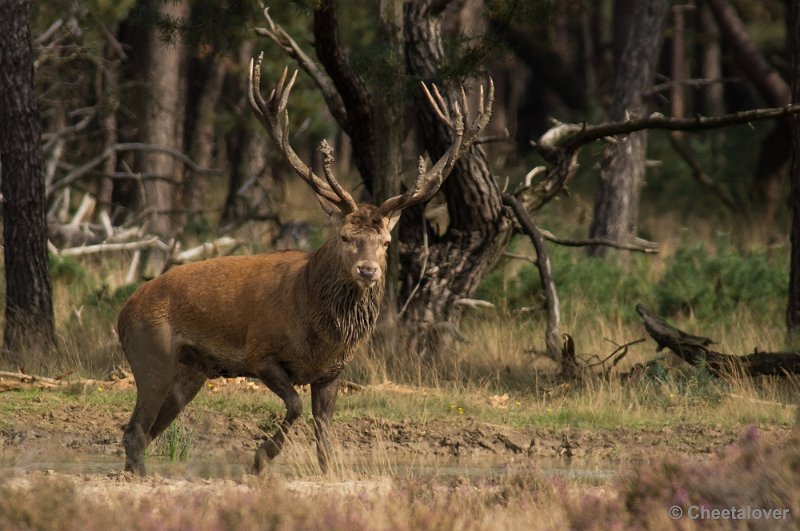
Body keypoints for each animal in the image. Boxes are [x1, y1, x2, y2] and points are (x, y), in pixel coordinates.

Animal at [119, 54, 494, 476]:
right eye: (345, 237)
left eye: (385, 242)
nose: (368, 270)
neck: (320, 332)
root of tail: (122, 312)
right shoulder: (260, 352)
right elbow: (295, 406)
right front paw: (260, 457)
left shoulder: (332, 372)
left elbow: (326, 438)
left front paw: (325, 470)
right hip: (152, 354)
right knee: (135, 430)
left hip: (191, 370)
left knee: (146, 429)